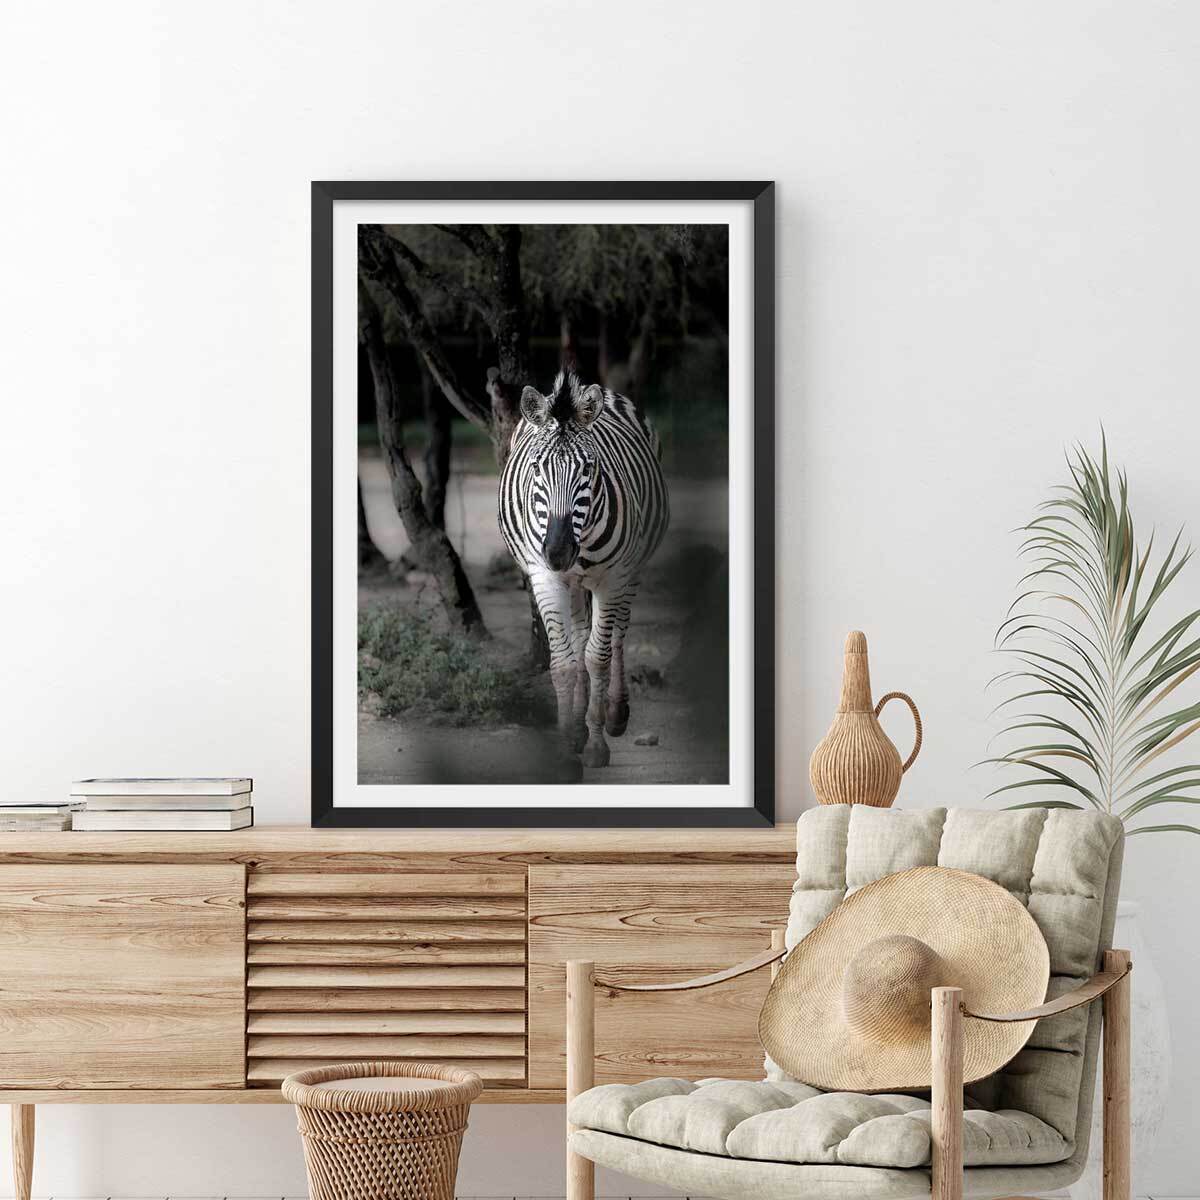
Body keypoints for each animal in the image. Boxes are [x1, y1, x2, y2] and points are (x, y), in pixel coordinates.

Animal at [498, 370, 669, 768]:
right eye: (536, 468)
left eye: (588, 469)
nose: (559, 551)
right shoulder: (545, 576)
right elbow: (563, 662)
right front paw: (567, 746)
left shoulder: (612, 579)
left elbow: (598, 657)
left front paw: (596, 745)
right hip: (572, 583)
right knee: (578, 637)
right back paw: (577, 727)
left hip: (631, 570)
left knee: (618, 634)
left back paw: (615, 714)